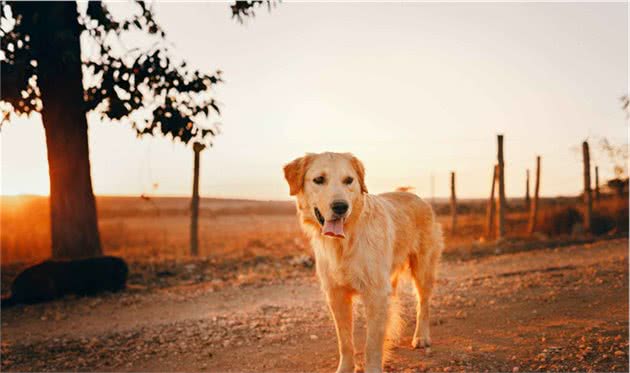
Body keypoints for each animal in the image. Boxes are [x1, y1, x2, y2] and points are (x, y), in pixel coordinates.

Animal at [286, 152, 444, 372]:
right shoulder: (336, 295)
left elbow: (372, 344)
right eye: (319, 179)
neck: (344, 243)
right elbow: (345, 342)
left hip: (423, 269)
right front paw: (345, 368)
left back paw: (421, 337)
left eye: (349, 180)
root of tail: (414, 196)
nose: (341, 207)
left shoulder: (375, 293)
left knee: (423, 303)